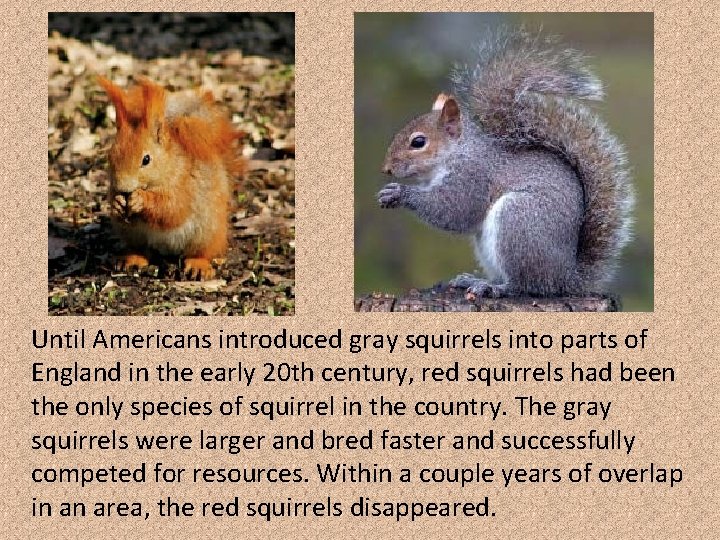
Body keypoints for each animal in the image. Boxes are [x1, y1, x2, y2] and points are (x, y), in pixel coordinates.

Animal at [97, 76, 246, 280]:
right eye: (110, 156)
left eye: (146, 159)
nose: (123, 187)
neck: (167, 167)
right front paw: (117, 203)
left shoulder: (184, 184)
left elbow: (172, 209)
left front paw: (141, 199)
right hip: (132, 234)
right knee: (141, 249)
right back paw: (133, 258)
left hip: (206, 232)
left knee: (202, 252)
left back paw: (198, 265)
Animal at [379, 28, 634, 297]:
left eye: (418, 142)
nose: (386, 168)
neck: (458, 152)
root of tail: (565, 279)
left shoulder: (473, 176)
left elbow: (454, 210)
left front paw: (400, 193)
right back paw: (473, 280)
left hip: (518, 222)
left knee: (524, 284)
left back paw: (493, 287)